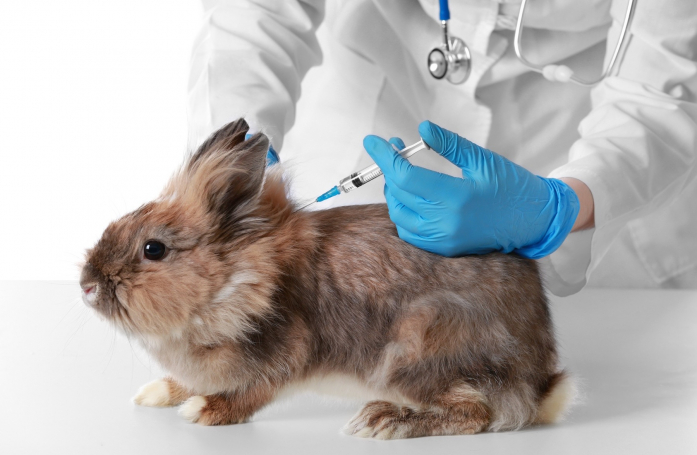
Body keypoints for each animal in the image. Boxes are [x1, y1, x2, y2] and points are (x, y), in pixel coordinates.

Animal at [80, 118, 575, 439]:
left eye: (154, 249)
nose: (86, 287)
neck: (232, 283)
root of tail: (541, 381)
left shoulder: (288, 352)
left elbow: (253, 392)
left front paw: (203, 409)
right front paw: (156, 392)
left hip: (422, 339)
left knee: (480, 412)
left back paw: (385, 420)